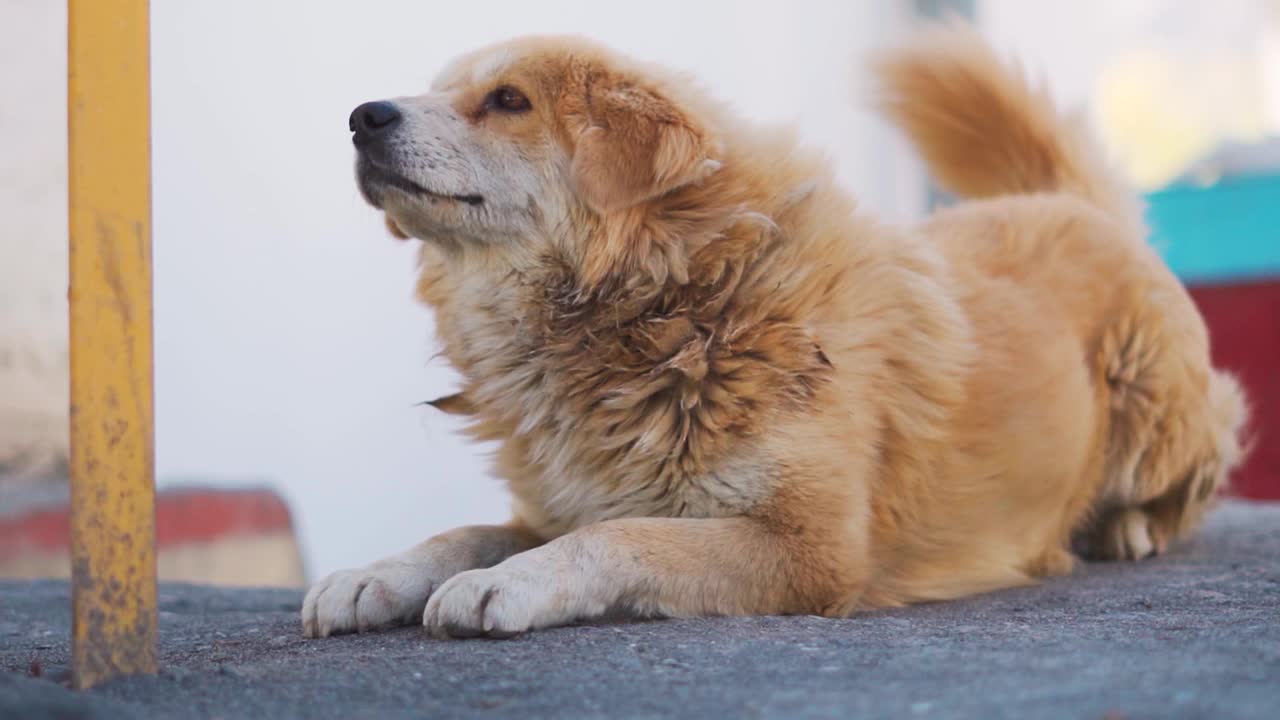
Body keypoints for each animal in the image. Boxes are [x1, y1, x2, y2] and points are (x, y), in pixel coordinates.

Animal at [296, 25, 1239, 635]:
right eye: (437, 90)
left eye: (507, 100)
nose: (364, 116)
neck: (674, 307)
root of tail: (1068, 203)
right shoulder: (565, 499)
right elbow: (463, 533)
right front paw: (373, 577)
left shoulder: (808, 550)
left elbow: (620, 535)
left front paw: (511, 586)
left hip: (1158, 417)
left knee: (1195, 477)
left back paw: (1129, 527)